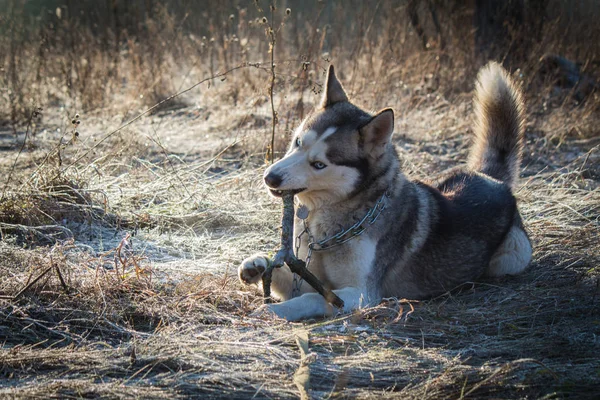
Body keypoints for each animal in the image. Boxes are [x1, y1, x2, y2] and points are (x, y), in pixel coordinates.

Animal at [238, 62, 528, 320]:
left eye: (319, 164)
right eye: (298, 142)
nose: (270, 177)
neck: (331, 225)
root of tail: (490, 178)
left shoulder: (362, 294)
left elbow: (312, 297)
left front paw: (274, 311)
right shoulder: (307, 273)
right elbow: (288, 278)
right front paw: (257, 265)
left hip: (513, 257)